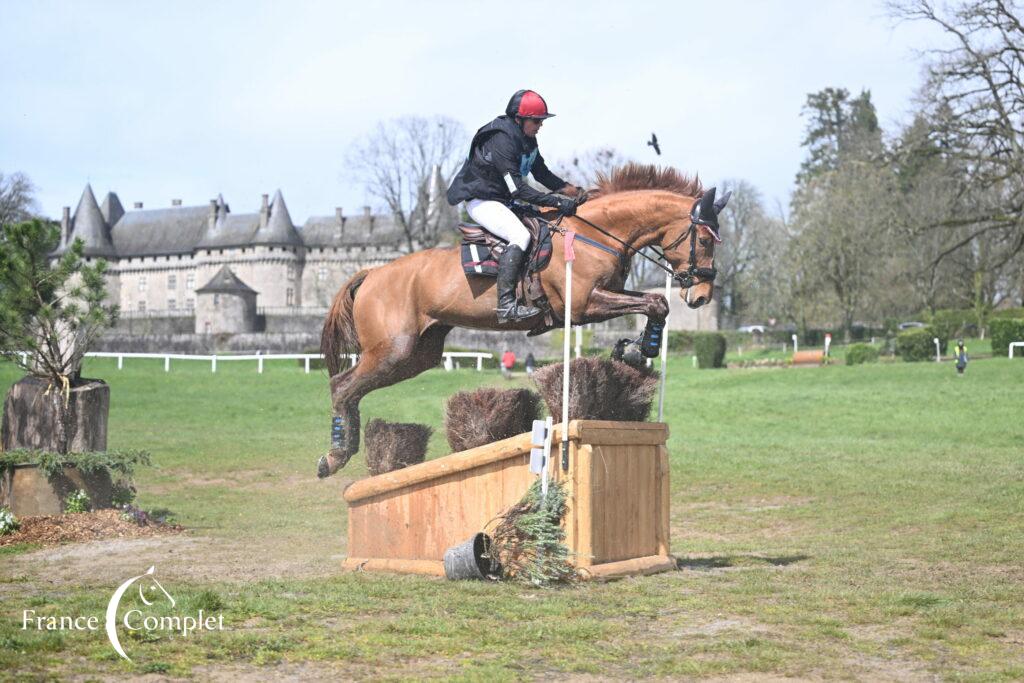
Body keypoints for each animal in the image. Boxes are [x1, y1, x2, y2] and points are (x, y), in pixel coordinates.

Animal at [315, 163, 724, 479]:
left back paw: (343, 451)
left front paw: (633, 350)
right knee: (341, 385)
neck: (595, 234)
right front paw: (640, 350)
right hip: (393, 349)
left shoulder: (602, 298)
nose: (702, 296)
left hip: (418, 355)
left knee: (351, 388)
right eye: (705, 240)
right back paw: (334, 456)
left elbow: (656, 303)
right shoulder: (583, 305)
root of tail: (372, 272)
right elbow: (656, 303)